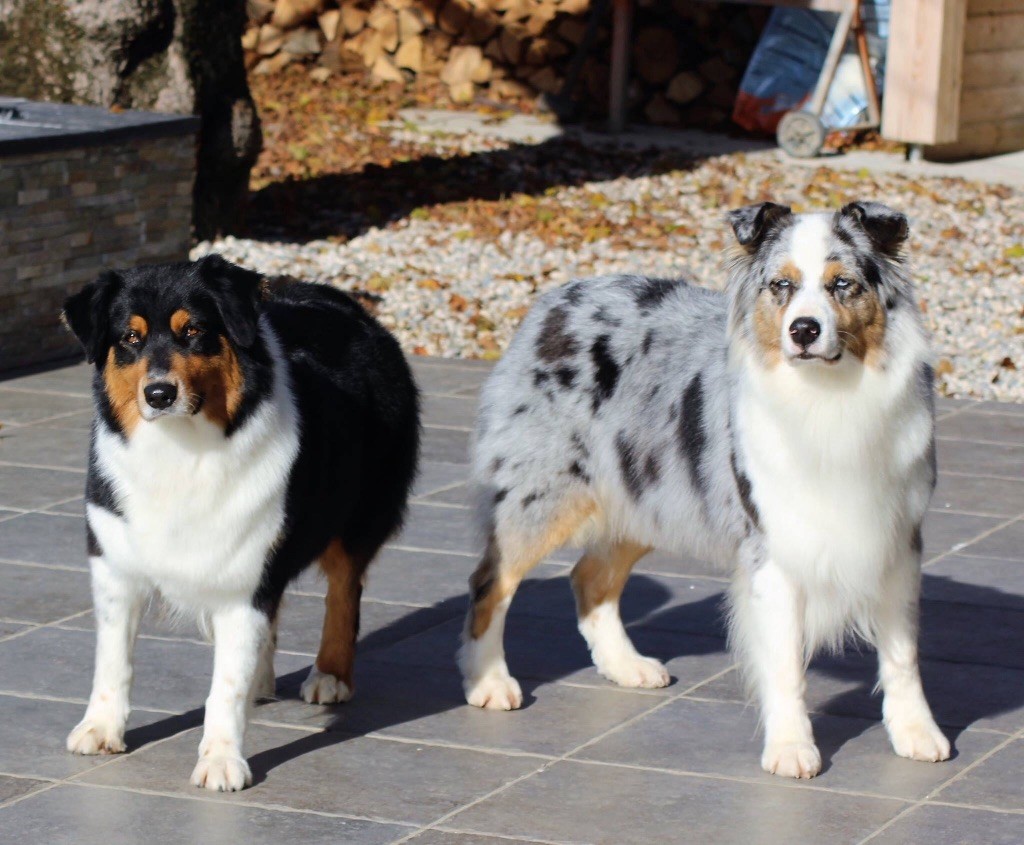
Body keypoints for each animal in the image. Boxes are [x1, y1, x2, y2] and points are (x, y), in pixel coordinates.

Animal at [61, 257, 419, 790]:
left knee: (344, 589)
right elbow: (113, 661)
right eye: (129, 337)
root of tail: (341, 301)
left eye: (194, 331)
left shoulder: (245, 579)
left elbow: (224, 686)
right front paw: (101, 728)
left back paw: (330, 674)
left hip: (354, 516)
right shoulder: (115, 564)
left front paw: (221, 760)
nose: (159, 394)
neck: (181, 450)